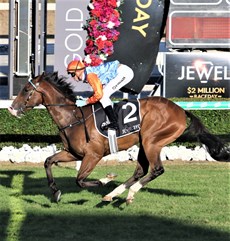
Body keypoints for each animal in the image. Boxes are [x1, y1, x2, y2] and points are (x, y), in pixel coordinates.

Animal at [8, 72, 229, 203]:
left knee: (156, 169)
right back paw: (113, 195)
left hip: (152, 141)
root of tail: (181, 110)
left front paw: (106, 179)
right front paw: (55, 191)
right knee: (140, 171)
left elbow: (80, 180)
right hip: (144, 143)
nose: (11, 109)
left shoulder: (93, 155)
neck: (73, 118)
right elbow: (48, 161)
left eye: (26, 90)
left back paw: (127, 193)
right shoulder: (73, 153)